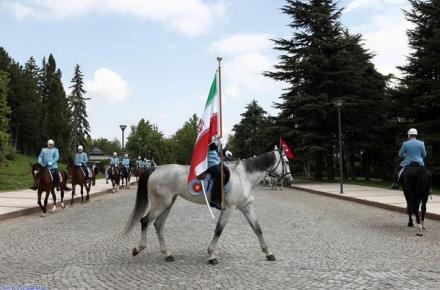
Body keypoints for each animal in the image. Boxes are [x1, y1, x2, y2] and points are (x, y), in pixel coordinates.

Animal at [125, 148, 294, 264]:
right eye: (286, 162)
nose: (290, 181)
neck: (243, 177)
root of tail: (156, 169)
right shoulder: (229, 209)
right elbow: (218, 230)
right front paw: (211, 255)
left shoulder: (246, 207)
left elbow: (257, 229)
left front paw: (268, 253)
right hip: (160, 204)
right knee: (145, 221)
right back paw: (138, 248)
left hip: (168, 203)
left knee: (158, 225)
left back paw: (167, 254)